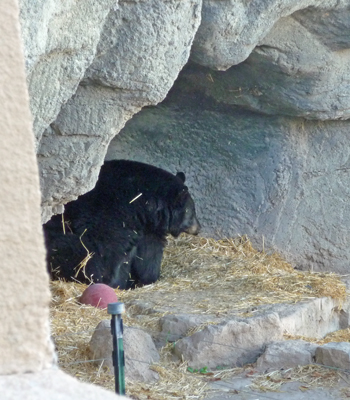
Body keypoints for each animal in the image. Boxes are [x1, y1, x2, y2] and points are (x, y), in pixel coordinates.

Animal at [43, 159, 201, 288]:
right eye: (192, 211)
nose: (198, 228)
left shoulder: (148, 229)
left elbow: (149, 254)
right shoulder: (112, 216)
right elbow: (104, 251)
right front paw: (112, 282)